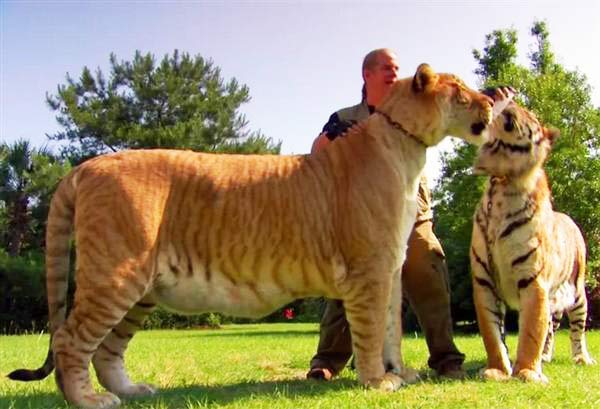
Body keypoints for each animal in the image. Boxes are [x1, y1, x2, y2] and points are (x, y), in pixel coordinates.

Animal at [9, 62, 494, 406]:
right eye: (460, 91)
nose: (491, 101)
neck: (405, 145)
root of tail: (84, 167)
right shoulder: (368, 269)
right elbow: (372, 330)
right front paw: (378, 381)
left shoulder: (389, 268)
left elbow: (391, 326)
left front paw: (402, 373)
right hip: (115, 272)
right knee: (70, 339)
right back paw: (88, 400)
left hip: (140, 286)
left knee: (108, 349)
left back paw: (130, 392)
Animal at [472, 90, 592, 382]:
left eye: (525, 112)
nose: (498, 93)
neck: (500, 182)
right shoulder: (483, 281)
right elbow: (492, 334)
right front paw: (496, 370)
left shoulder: (533, 280)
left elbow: (530, 332)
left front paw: (526, 371)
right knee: (550, 328)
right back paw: (546, 357)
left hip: (578, 292)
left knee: (577, 329)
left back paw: (581, 358)